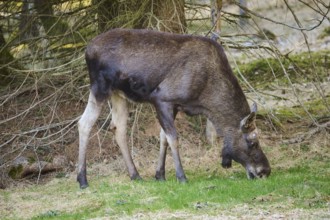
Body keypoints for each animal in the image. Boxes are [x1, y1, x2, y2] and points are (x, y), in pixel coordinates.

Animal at [78, 28, 270, 188]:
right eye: (252, 142)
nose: (265, 171)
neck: (206, 98)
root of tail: (87, 49)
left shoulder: (176, 105)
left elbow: (163, 137)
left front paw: (160, 175)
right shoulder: (162, 98)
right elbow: (173, 138)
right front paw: (181, 176)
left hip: (119, 94)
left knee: (118, 127)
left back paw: (135, 175)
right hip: (100, 87)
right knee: (84, 123)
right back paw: (82, 180)